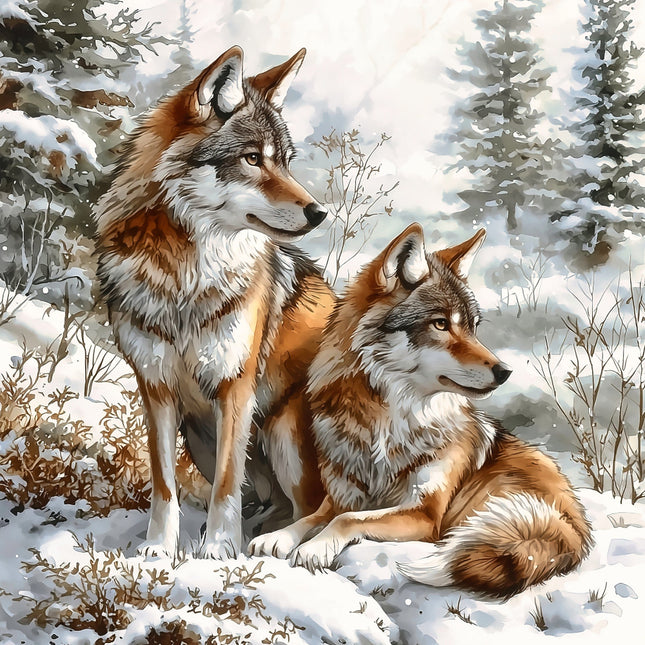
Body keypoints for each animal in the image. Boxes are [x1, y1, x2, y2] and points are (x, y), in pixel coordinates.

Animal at [94, 46, 335, 559]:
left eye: (285, 162)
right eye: (252, 159)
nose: (319, 212)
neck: (184, 278)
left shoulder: (234, 387)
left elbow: (227, 481)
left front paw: (219, 551)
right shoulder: (156, 387)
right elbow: (164, 483)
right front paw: (160, 549)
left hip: (285, 427)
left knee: (320, 506)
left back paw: (272, 542)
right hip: (199, 434)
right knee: (280, 503)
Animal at [248, 224, 592, 598]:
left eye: (472, 327)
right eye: (441, 324)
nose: (505, 371)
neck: (387, 423)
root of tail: (575, 524)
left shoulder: (426, 513)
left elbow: (346, 520)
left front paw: (315, 547)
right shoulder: (342, 495)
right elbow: (313, 517)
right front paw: (280, 537)